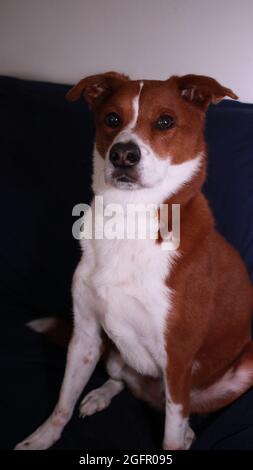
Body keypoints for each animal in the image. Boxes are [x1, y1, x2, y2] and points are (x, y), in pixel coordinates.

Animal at [14, 71, 253, 450]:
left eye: (165, 121)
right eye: (112, 118)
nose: (123, 155)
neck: (127, 217)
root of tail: (149, 397)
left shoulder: (178, 358)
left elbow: (170, 436)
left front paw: (177, 438)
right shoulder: (85, 336)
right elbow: (63, 402)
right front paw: (42, 439)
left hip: (242, 369)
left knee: (185, 412)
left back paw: (188, 431)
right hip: (113, 353)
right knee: (120, 379)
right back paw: (99, 396)